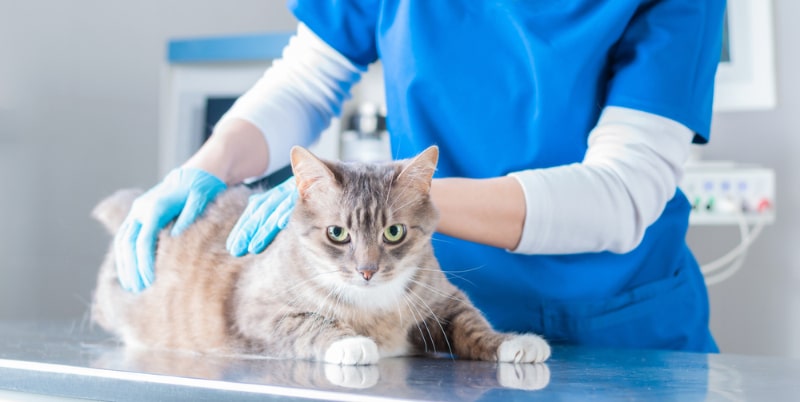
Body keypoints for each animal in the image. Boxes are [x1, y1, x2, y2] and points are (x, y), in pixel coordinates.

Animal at [87, 144, 552, 364]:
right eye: (337, 233)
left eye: (394, 232)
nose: (367, 271)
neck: (373, 307)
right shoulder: (257, 311)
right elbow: (310, 323)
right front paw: (351, 344)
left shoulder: (442, 300)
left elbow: (472, 323)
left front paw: (513, 343)